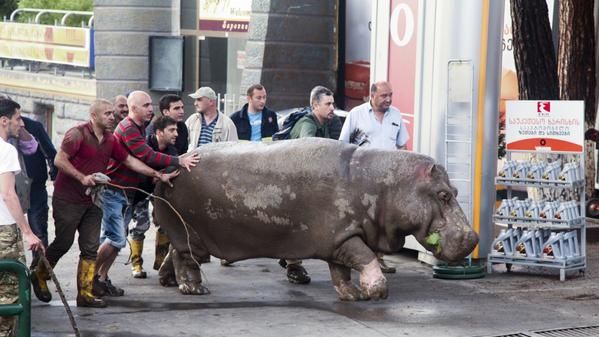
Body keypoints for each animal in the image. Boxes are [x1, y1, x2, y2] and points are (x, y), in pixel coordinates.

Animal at [154, 136, 478, 300]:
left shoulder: (339, 239)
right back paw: (194, 289)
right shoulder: (347, 237)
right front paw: (376, 292)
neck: (387, 184)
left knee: (173, 252)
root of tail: (174, 164)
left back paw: (167, 281)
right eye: (443, 195)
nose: (473, 237)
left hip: (186, 232)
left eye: (456, 190)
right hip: (190, 233)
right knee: (185, 259)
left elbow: (341, 271)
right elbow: (366, 258)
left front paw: (353, 295)